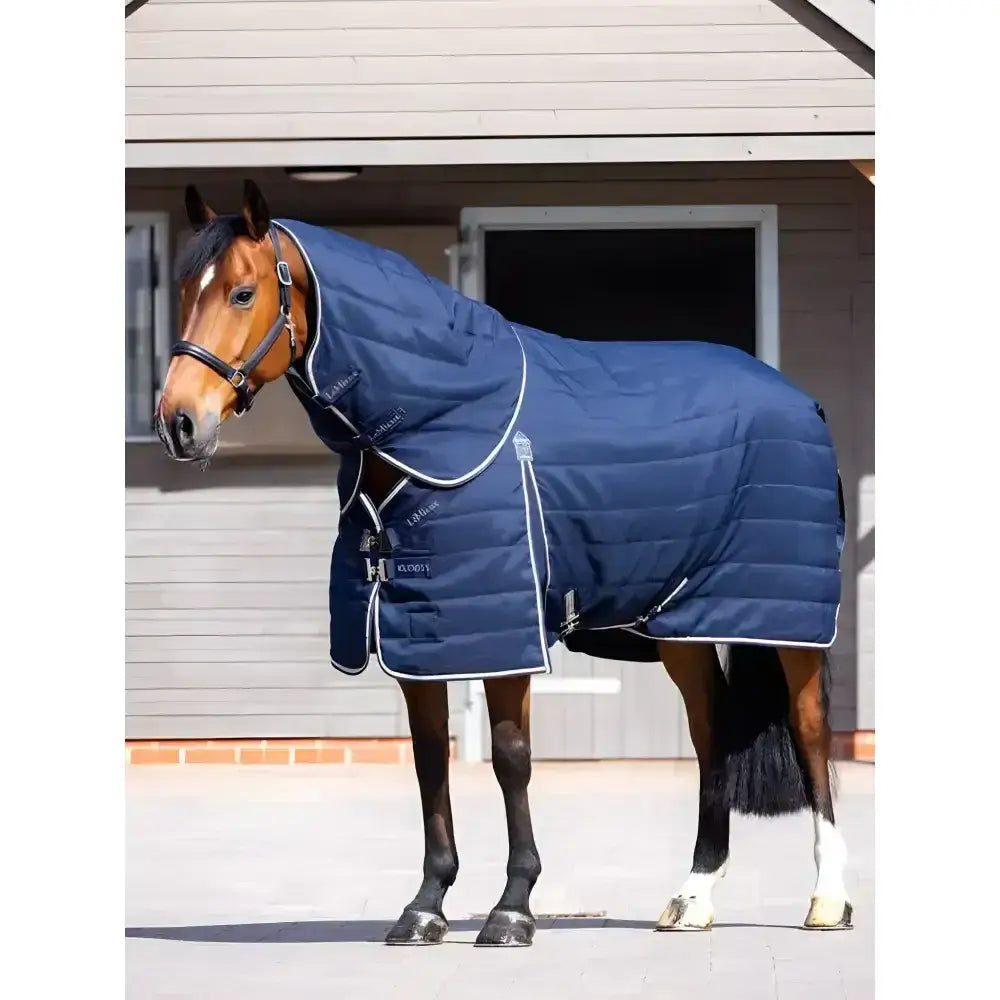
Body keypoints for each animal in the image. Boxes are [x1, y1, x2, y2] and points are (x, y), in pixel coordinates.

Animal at [155, 179, 852, 946]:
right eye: (184, 288)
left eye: (243, 293)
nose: (178, 421)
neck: (440, 425)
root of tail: (802, 401)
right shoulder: (419, 634)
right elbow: (431, 761)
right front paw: (425, 906)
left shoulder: (503, 631)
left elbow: (512, 758)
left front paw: (513, 907)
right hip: (682, 629)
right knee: (711, 737)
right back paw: (693, 898)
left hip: (786, 623)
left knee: (810, 731)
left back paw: (828, 899)